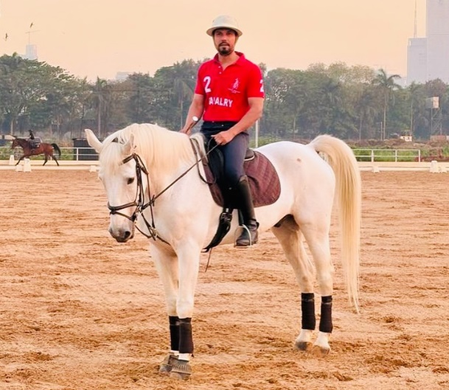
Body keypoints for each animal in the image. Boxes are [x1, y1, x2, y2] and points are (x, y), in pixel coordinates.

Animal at [86, 125, 362, 380]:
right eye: (101, 178)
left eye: (130, 179)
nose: (119, 231)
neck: (172, 185)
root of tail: (309, 149)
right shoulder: (162, 252)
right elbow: (172, 304)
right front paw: (171, 357)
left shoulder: (189, 251)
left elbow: (184, 303)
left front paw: (183, 361)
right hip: (287, 230)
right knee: (305, 276)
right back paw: (304, 336)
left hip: (314, 228)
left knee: (324, 275)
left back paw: (323, 340)